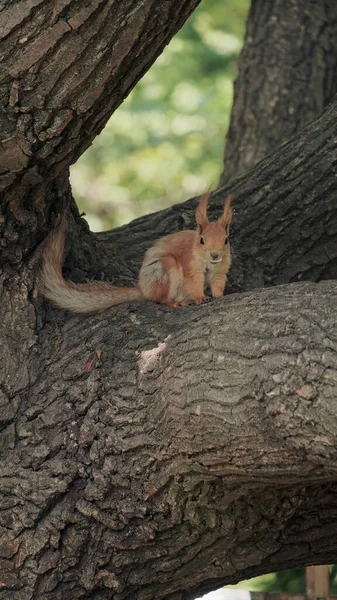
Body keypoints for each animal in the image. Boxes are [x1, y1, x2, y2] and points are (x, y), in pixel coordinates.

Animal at [39, 192, 231, 314]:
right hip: (164, 268)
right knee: (160, 299)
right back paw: (177, 303)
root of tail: (143, 289)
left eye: (226, 240)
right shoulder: (190, 266)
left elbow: (217, 283)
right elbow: (194, 282)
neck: (209, 263)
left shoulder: (221, 270)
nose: (215, 255)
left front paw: (219, 295)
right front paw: (200, 298)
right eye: (202, 240)